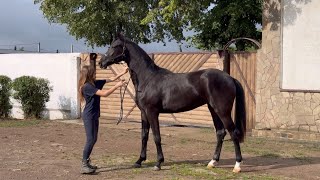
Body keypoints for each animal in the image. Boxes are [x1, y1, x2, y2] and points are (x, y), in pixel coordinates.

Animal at [101, 34, 246, 172]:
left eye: (115, 46)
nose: (101, 62)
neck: (148, 78)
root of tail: (230, 78)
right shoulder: (144, 113)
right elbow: (144, 136)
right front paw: (139, 161)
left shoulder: (152, 112)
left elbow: (156, 136)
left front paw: (158, 163)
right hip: (213, 109)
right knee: (220, 132)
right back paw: (213, 162)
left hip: (222, 111)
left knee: (233, 133)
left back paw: (237, 165)